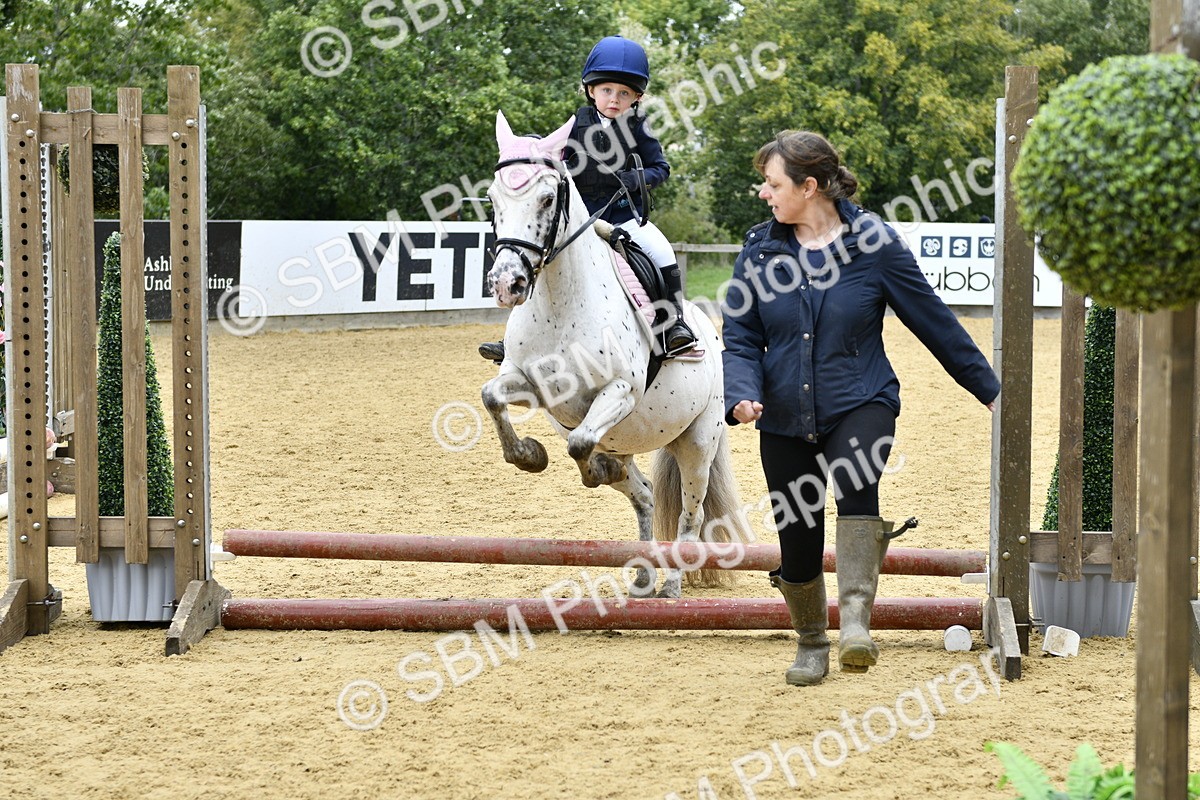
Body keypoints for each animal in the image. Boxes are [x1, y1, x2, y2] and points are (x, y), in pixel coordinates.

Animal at [480, 110, 753, 598]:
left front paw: (591, 471)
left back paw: (671, 585)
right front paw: (529, 455)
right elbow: (492, 397)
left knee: (691, 515)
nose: (507, 284)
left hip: (698, 442)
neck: (559, 304)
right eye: (493, 198)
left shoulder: (620, 391)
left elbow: (578, 442)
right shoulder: (528, 383)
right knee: (643, 494)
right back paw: (644, 574)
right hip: (631, 441)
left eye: (547, 199)